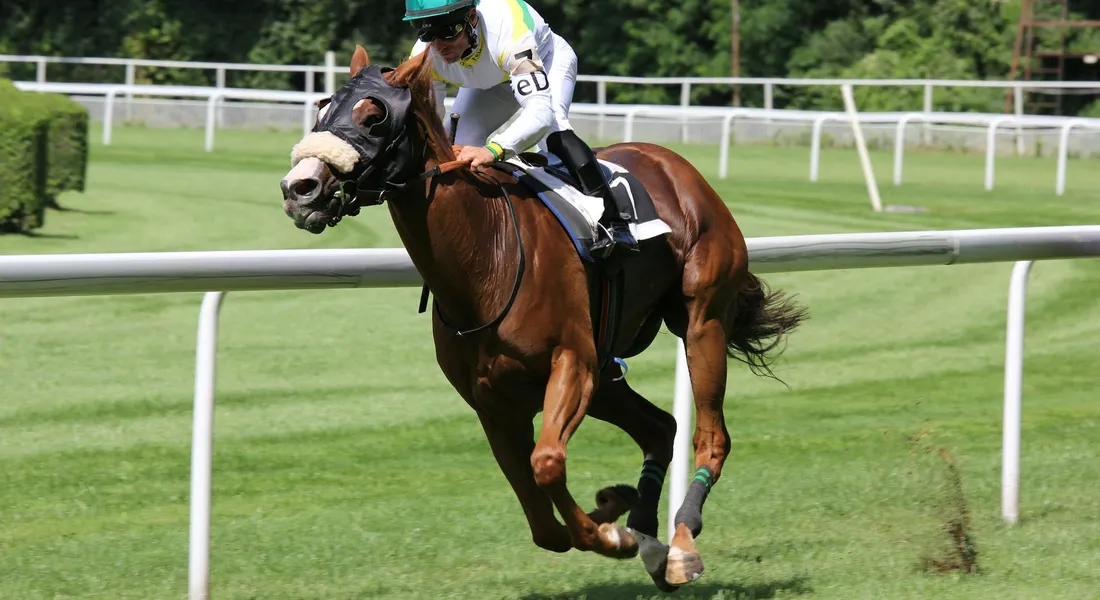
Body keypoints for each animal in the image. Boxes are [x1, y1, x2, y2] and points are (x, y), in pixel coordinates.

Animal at [279, 46, 806, 592]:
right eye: (322, 109)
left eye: (374, 116)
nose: (300, 188)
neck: (485, 258)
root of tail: (677, 165)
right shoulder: (492, 402)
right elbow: (541, 521)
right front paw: (616, 512)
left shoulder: (571, 363)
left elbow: (547, 464)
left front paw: (612, 533)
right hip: (607, 372)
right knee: (661, 428)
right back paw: (648, 536)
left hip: (701, 320)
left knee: (711, 436)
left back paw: (680, 545)